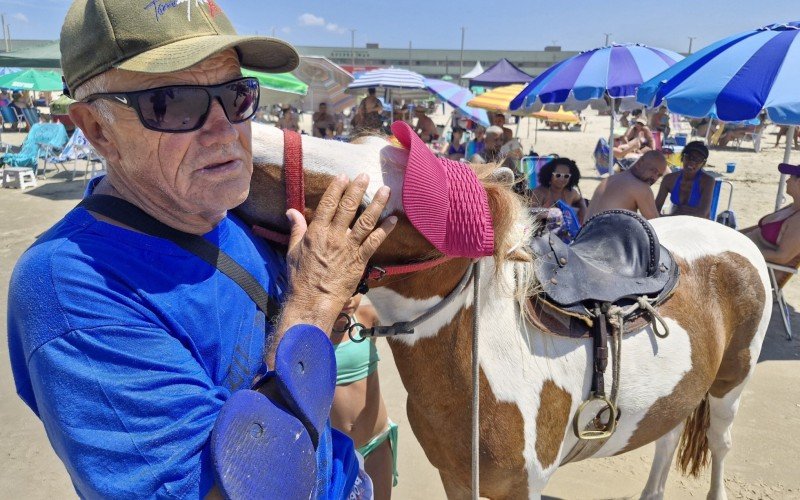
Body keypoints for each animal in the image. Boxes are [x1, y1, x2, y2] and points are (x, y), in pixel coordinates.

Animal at [238, 122, 768, 500]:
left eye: (380, 200)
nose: (249, 140)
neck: (488, 362)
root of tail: (734, 237)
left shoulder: (522, 488)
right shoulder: (456, 478)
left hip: (730, 388)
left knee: (719, 444)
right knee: (667, 435)